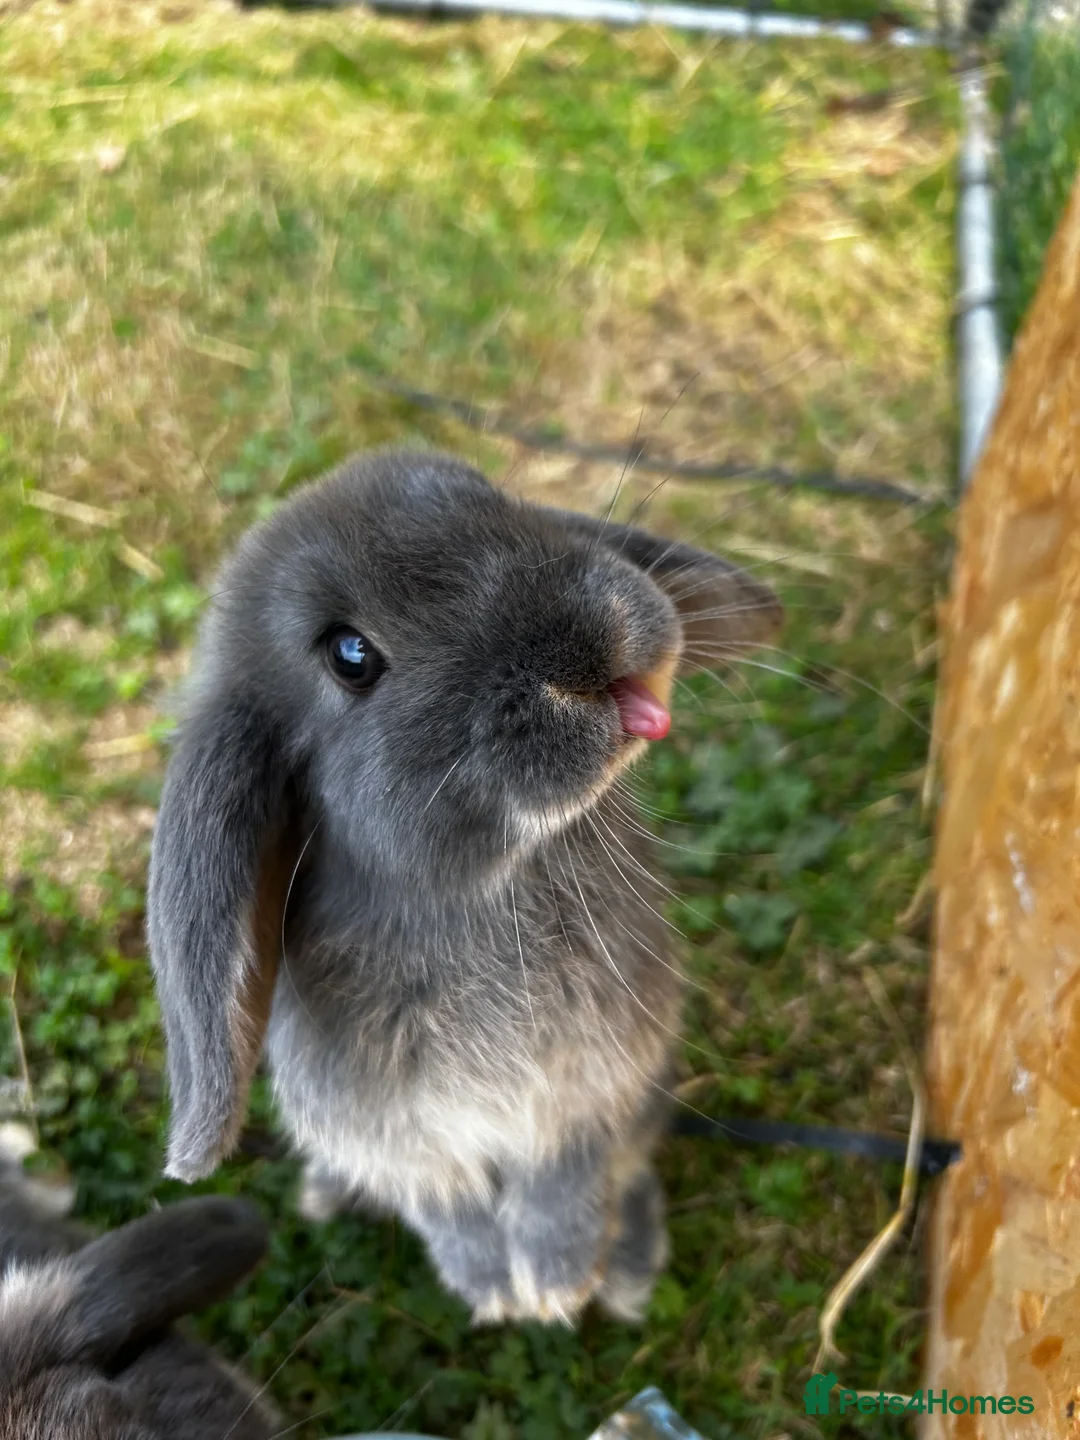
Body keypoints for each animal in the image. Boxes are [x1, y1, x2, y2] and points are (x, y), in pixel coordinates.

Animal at [147, 448, 781, 1326]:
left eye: (491, 498)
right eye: (350, 655)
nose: (586, 647)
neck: (476, 896)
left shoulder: (591, 1092)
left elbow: (566, 1182)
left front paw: (556, 1279)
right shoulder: (400, 1138)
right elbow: (449, 1206)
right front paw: (494, 1286)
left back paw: (625, 1274)